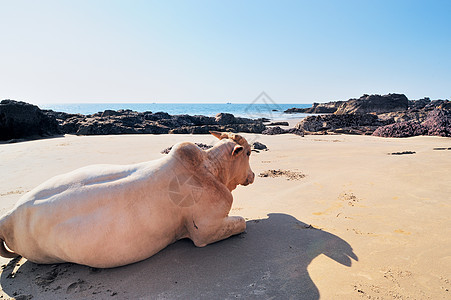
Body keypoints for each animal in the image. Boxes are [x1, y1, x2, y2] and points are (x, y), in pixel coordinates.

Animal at [0, 131, 254, 268]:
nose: (252, 175)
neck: (209, 169)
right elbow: (241, 223)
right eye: (249, 153)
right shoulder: (205, 231)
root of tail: (8, 218)